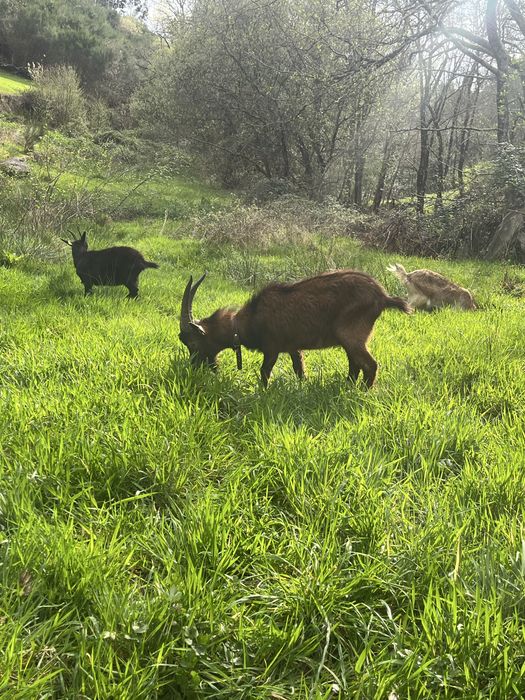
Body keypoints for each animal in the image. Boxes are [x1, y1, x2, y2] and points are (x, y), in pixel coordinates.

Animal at [178, 270, 411, 388]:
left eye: (192, 343)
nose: (194, 367)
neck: (247, 321)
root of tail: (382, 296)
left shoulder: (272, 348)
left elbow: (264, 372)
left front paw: (262, 392)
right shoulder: (293, 347)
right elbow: (299, 369)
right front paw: (302, 387)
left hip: (351, 335)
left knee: (370, 365)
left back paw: (362, 391)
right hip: (350, 340)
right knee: (355, 365)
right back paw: (348, 386)